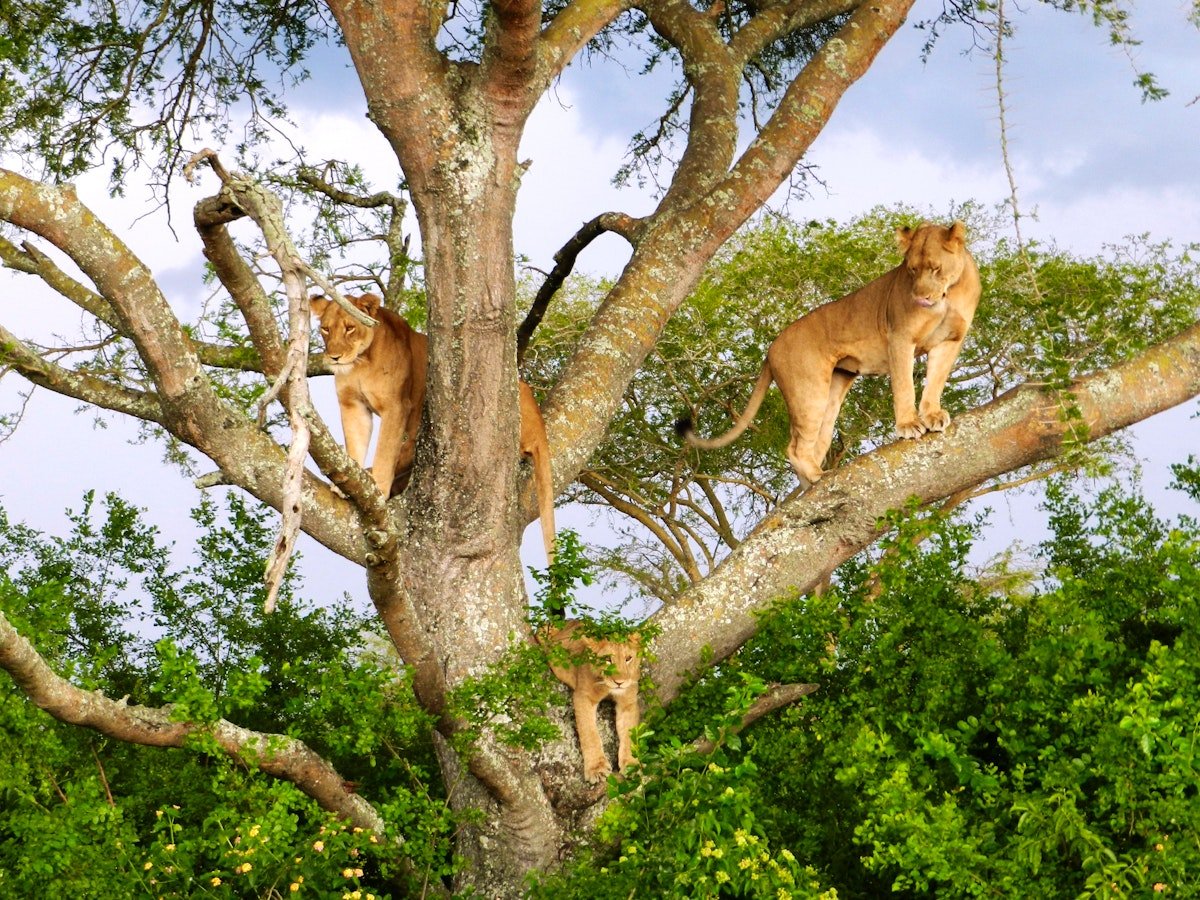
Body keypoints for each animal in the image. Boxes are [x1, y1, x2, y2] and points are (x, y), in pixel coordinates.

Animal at [310, 293, 557, 561]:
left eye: (350, 328)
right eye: (325, 329)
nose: (334, 357)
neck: (361, 362)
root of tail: (538, 419)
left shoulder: (397, 406)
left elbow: (385, 452)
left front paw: (379, 488)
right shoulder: (352, 405)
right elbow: (354, 447)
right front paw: (346, 484)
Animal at [540, 620, 642, 782]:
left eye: (628, 658)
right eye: (607, 659)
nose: (619, 682)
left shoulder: (628, 702)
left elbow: (630, 734)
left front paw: (632, 765)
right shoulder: (583, 696)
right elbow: (589, 733)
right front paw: (596, 769)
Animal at [677, 220, 981, 487]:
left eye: (935, 268)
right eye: (911, 270)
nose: (920, 298)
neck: (947, 295)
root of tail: (771, 348)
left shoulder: (950, 340)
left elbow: (936, 380)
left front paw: (933, 416)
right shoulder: (900, 336)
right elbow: (904, 386)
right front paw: (908, 424)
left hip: (833, 389)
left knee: (814, 441)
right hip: (809, 389)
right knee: (795, 447)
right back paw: (817, 476)